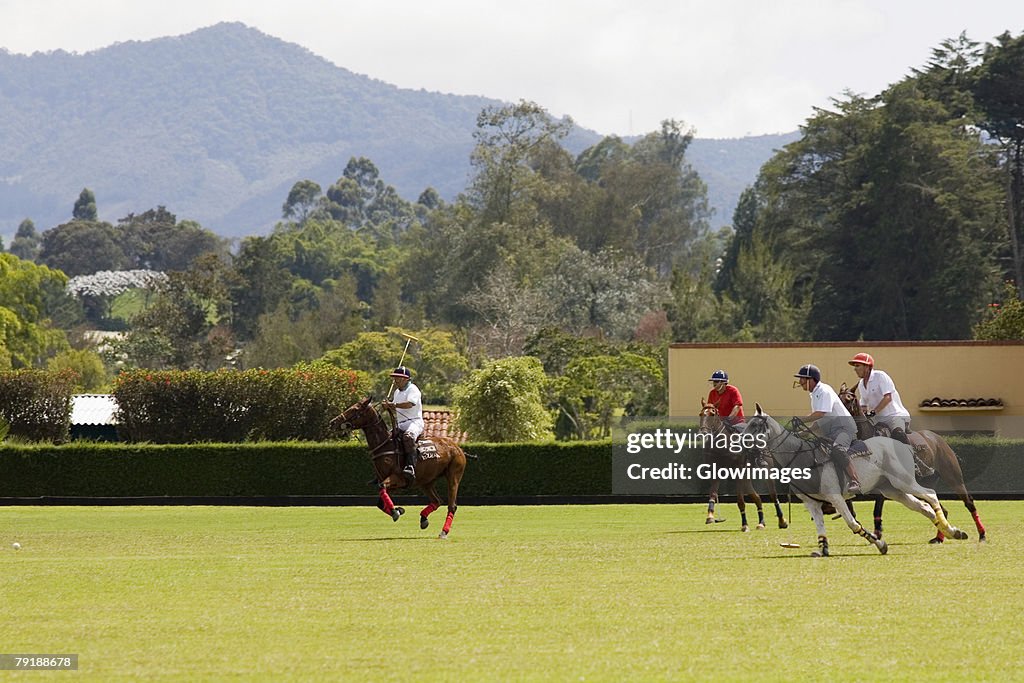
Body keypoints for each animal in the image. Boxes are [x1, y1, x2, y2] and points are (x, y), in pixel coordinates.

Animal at [333, 395, 468, 540]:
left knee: (452, 505)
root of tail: (458, 448)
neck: (385, 445)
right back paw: (423, 519)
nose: (333, 422)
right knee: (437, 501)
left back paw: (444, 531)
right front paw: (399, 510)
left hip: (453, 476)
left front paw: (395, 512)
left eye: (355, 409)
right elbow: (380, 502)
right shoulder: (390, 482)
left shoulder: (398, 478)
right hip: (426, 481)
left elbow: (382, 489)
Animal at [696, 401, 790, 532]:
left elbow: (740, 501)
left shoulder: (738, 473)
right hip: (746, 478)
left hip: (767, 471)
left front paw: (745, 525)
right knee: (757, 498)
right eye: (701, 414)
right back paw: (761, 523)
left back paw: (782, 521)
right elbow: (713, 493)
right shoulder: (716, 472)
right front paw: (710, 516)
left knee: (773, 495)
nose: (703, 434)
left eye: (712, 414)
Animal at [745, 405, 966, 557]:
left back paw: (949, 530)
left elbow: (852, 523)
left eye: (755, 425)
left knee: (931, 495)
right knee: (922, 507)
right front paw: (822, 550)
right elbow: (820, 528)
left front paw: (880, 544)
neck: (802, 457)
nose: (741, 442)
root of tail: (902, 444)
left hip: (903, 480)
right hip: (892, 490)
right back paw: (952, 532)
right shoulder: (811, 502)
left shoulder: (835, 497)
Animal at [839, 382, 983, 540]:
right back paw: (939, 538)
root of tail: (938, 439)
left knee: (968, 502)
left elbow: (876, 509)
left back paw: (981, 534)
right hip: (925, 481)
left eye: (848, 399)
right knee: (940, 507)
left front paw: (876, 532)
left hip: (952, 475)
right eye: (838, 397)